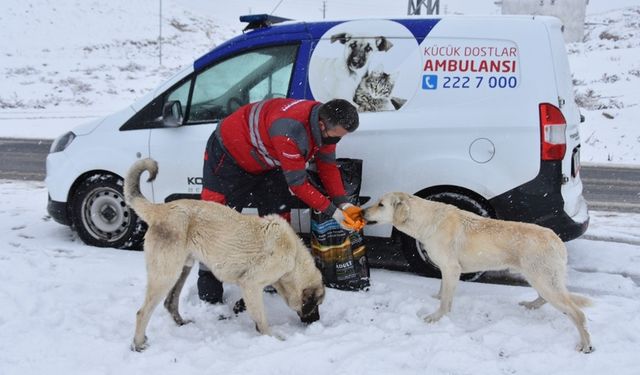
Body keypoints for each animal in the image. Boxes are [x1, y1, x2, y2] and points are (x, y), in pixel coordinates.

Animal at [125, 159, 324, 352]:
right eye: (316, 305)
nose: (316, 322)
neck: (294, 258)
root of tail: (160, 209)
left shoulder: (251, 287)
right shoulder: (251, 283)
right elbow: (261, 318)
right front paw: (271, 337)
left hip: (182, 269)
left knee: (169, 302)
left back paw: (181, 323)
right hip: (166, 275)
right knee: (141, 313)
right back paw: (138, 344)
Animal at [362, 192, 592, 354]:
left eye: (381, 204)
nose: (362, 212)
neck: (426, 220)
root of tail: (557, 240)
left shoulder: (451, 268)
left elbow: (446, 301)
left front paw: (437, 317)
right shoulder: (447, 269)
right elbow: (443, 290)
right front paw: (436, 297)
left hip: (543, 279)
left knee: (577, 313)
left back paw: (586, 345)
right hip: (539, 278)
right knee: (545, 299)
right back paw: (530, 306)